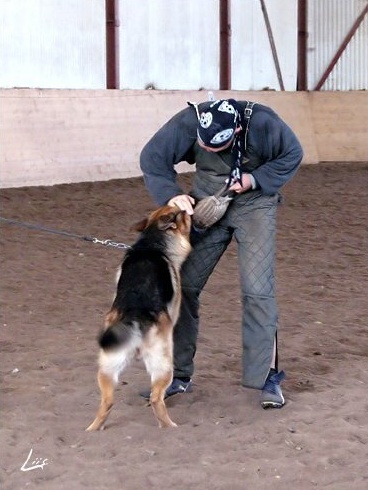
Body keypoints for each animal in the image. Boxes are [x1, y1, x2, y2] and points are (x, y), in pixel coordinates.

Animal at [85, 206, 191, 428]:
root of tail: (134, 317)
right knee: (156, 398)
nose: (189, 207)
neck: (151, 243)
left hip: (107, 366)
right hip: (163, 366)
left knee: (107, 402)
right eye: (182, 213)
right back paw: (170, 427)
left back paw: (93, 430)